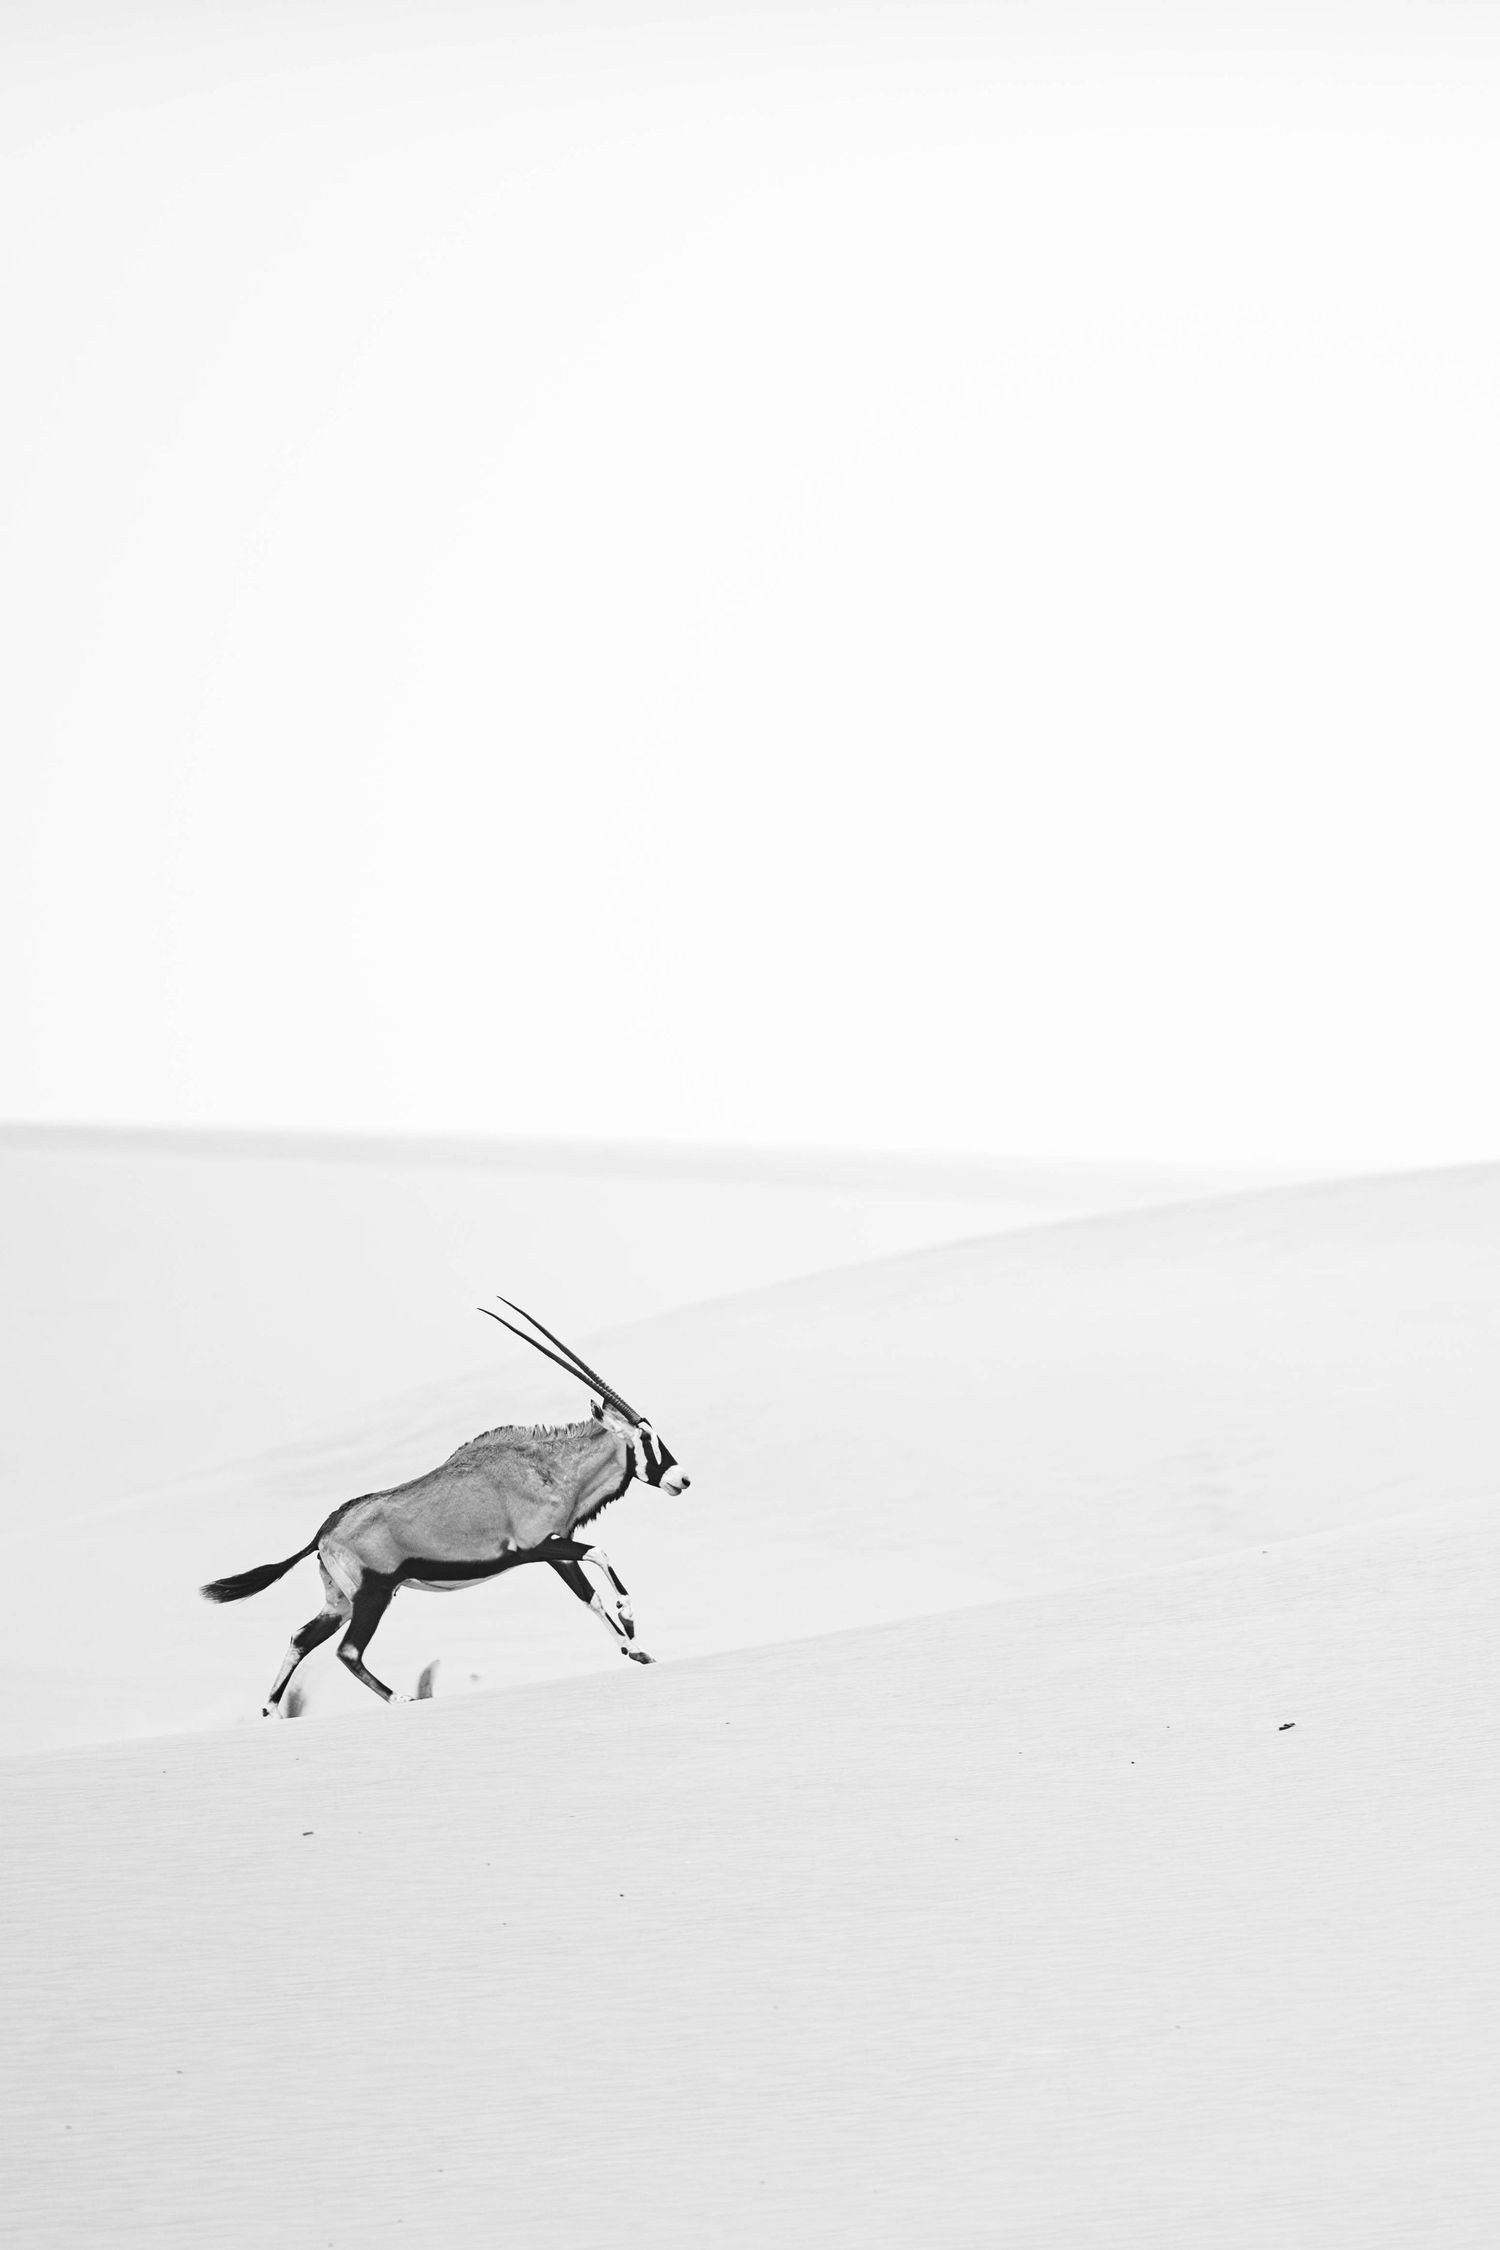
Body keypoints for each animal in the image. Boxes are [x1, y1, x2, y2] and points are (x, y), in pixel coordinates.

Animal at [200, 1300, 690, 1714]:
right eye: (647, 1437)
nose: (681, 1479)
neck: (546, 1467)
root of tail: (324, 1531)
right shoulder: (537, 1547)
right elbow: (600, 1555)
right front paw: (629, 1619)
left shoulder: (556, 1551)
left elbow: (589, 1598)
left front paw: (637, 1650)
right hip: (375, 1594)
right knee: (348, 1650)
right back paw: (399, 1699)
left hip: (340, 1601)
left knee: (303, 1638)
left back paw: (269, 1710)